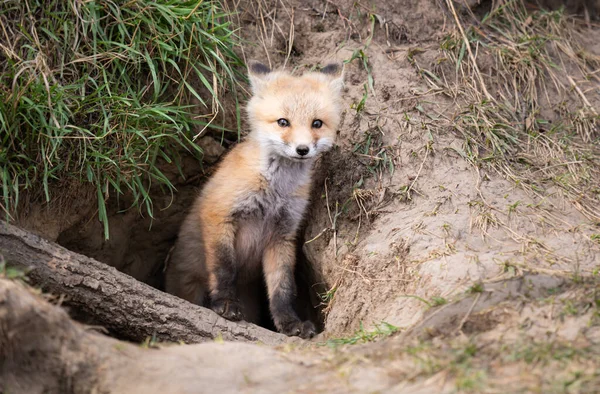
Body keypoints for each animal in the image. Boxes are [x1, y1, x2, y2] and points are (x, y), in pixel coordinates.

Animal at [165, 60, 342, 338]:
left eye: (317, 123)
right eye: (283, 122)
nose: (302, 150)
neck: (273, 191)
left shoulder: (282, 234)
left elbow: (283, 288)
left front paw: (289, 323)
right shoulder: (220, 214)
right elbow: (224, 267)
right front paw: (225, 303)